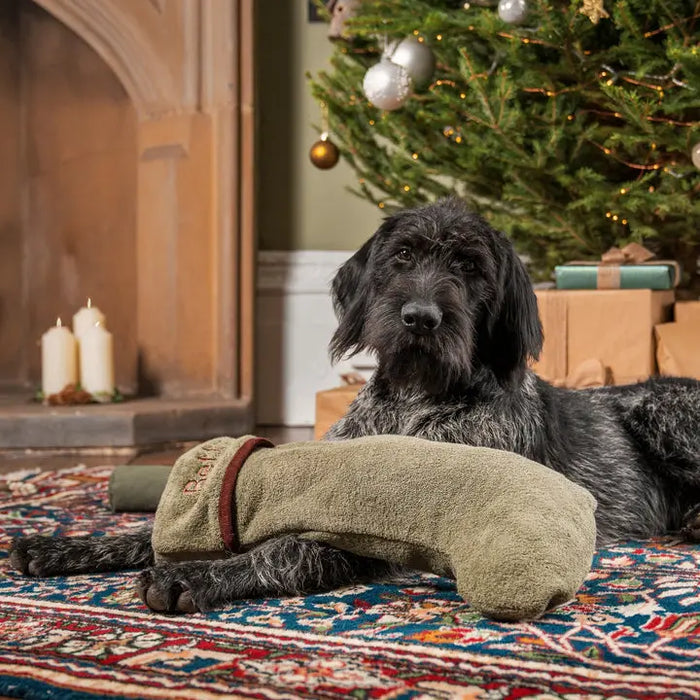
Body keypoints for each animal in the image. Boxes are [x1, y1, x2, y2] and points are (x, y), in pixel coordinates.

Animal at [9, 198, 700, 612]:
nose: (419, 318)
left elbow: (284, 550)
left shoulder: (383, 533)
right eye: (403, 257)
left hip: (661, 409)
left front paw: (195, 578)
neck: (416, 401)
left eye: (469, 268)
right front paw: (65, 546)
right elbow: (154, 531)